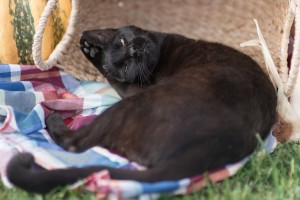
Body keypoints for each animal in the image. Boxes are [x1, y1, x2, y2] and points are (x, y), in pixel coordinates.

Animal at [6, 25, 276, 194]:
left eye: (123, 41)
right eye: (125, 64)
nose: (133, 51)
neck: (162, 48)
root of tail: (220, 143)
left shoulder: (133, 90)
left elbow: (113, 79)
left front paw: (91, 48)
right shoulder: (132, 86)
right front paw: (92, 50)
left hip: (129, 105)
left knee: (75, 143)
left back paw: (52, 117)